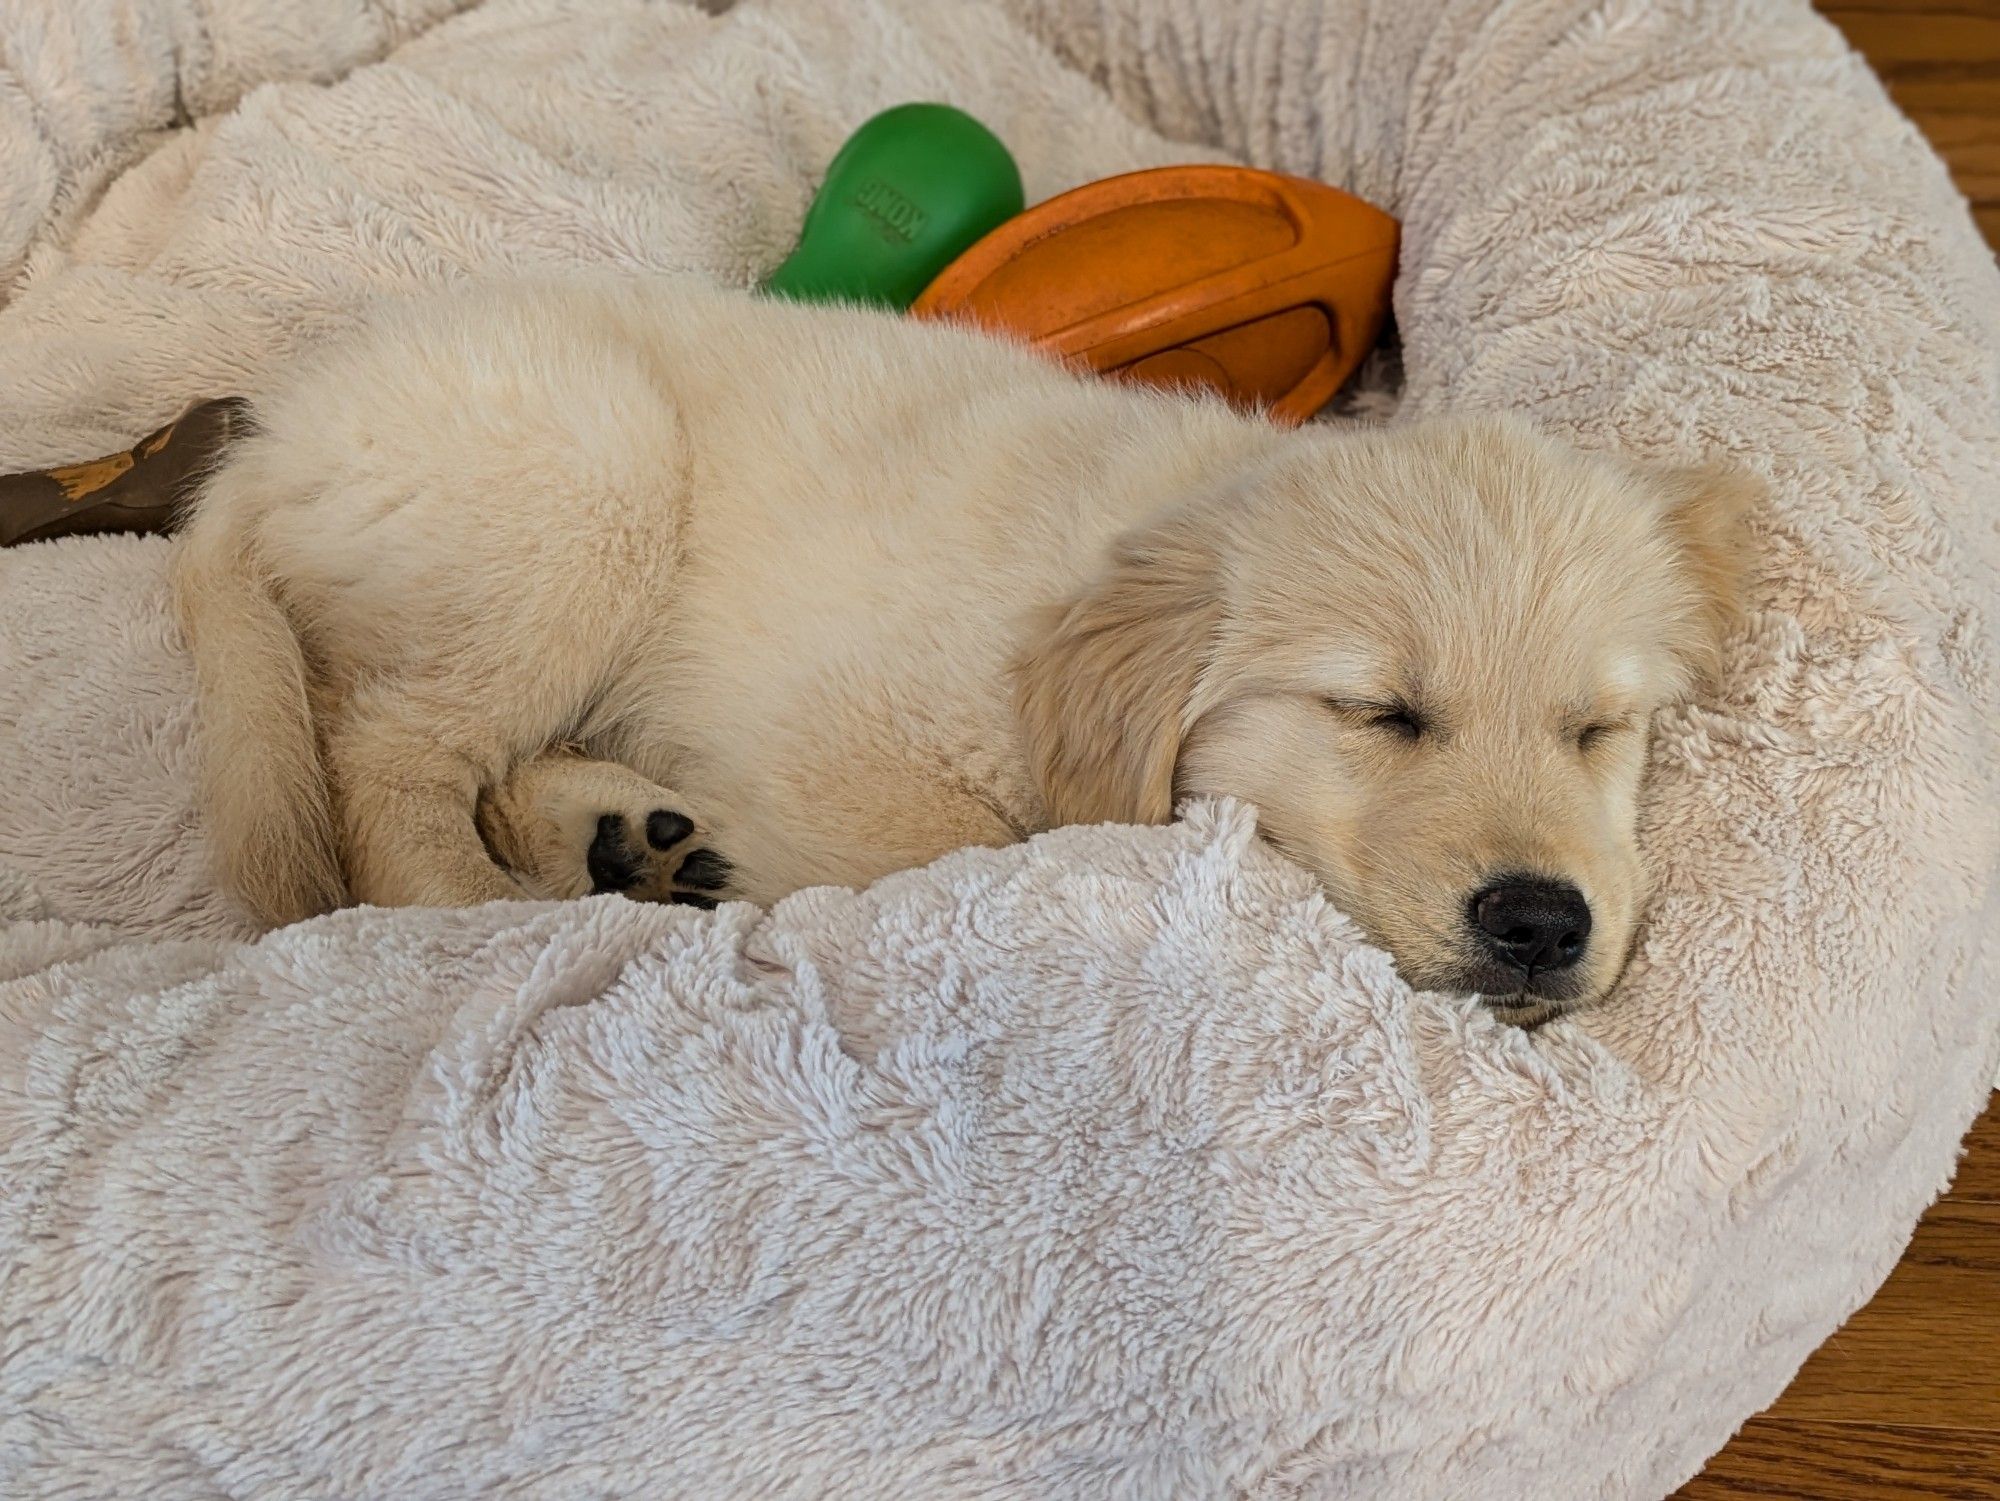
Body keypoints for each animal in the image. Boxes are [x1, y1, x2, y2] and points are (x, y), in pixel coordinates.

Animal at [172, 272, 1744, 1024]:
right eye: (1379, 713)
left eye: (1598, 730)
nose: (1541, 923)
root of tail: (274, 433)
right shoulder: (836, 730)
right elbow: (954, 848)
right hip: (588, 489)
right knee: (389, 752)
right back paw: (494, 908)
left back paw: (625, 838)